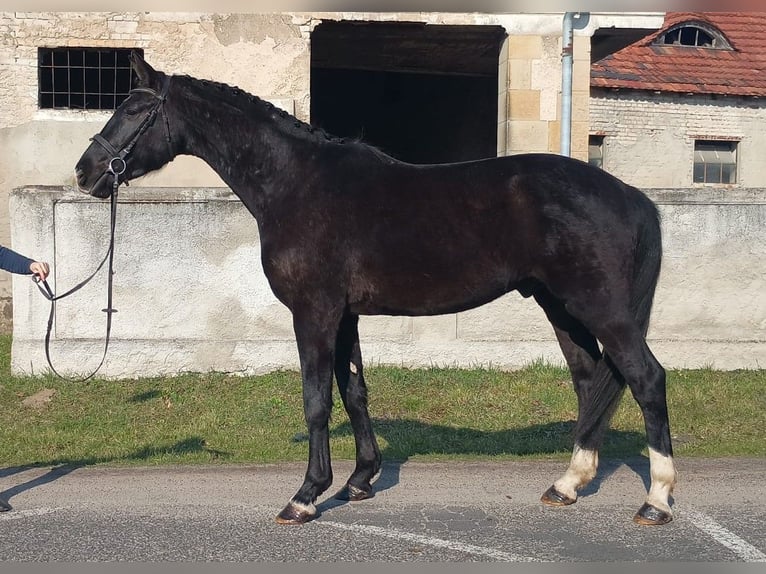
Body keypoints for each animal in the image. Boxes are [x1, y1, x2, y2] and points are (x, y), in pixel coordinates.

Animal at [74, 52, 677, 526]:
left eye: (134, 110)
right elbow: (354, 390)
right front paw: (360, 480)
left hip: (602, 310)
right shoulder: (345, 315)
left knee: (645, 378)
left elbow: (317, 398)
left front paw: (306, 496)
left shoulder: (314, 312)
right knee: (591, 381)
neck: (296, 183)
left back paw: (656, 501)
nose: (86, 171)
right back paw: (568, 484)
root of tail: (632, 196)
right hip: (562, 308)